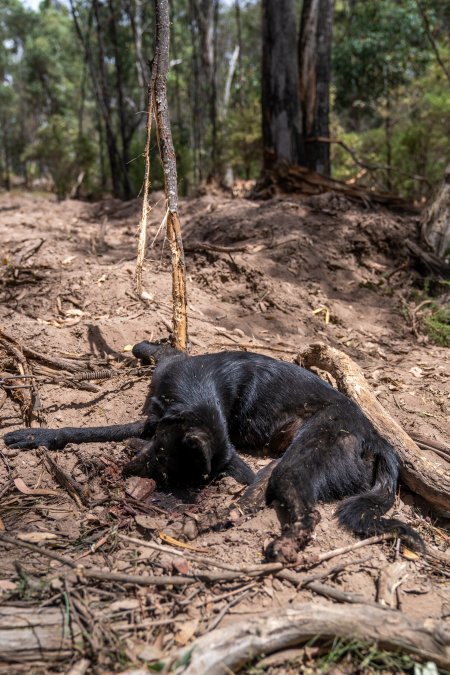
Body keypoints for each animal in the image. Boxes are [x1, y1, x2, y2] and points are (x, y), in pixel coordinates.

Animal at [2, 344, 422, 560]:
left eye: (164, 466)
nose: (127, 472)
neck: (195, 391)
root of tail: (377, 439)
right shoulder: (151, 417)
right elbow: (89, 428)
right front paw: (35, 435)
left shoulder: (153, 419)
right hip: (275, 467)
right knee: (247, 503)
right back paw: (203, 525)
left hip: (300, 461)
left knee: (306, 513)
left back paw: (283, 545)